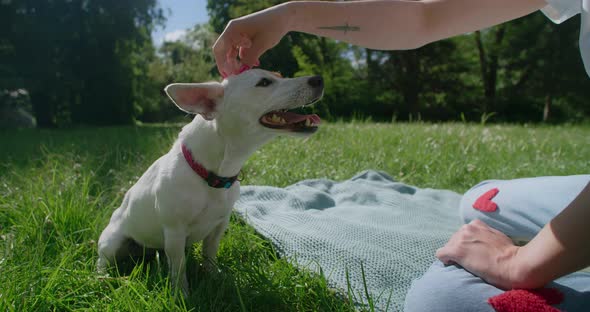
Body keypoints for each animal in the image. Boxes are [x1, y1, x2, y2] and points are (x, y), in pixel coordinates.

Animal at [99, 69, 326, 296]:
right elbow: (179, 267)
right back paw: (103, 278)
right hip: (111, 242)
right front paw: (181, 294)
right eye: (264, 82)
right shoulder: (174, 232)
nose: (319, 78)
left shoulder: (218, 226)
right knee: (104, 261)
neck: (212, 176)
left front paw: (214, 277)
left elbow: (209, 254)